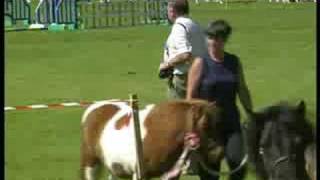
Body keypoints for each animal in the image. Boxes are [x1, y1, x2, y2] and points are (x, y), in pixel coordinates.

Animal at [80, 99, 222, 179]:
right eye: (204, 124)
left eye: (219, 123)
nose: (219, 153)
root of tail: (93, 107)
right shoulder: (139, 173)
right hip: (90, 163)